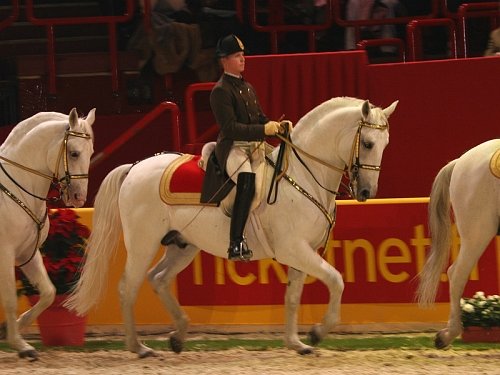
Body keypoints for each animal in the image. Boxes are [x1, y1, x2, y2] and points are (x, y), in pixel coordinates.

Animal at [0, 107, 95, 360]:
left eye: (91, 153)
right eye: (73, 153)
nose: (79, 198)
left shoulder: (28, 255)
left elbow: (49, 293)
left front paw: (15, 330)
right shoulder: (5, 254)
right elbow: (10, 300)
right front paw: (20, 344)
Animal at [65, 97, 398, 358]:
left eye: (385, 145)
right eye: (367, 143)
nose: (366, 192)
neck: (302, 175)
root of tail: (135, 167)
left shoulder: (301, 254)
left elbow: (293, 297)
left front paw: (297, 343)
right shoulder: (294, 250)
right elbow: (336, 280)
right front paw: (317, 332)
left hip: (183, 245)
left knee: (158, 278)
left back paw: (178, 335)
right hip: (142, 244)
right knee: (128, 287)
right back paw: (139, 347)